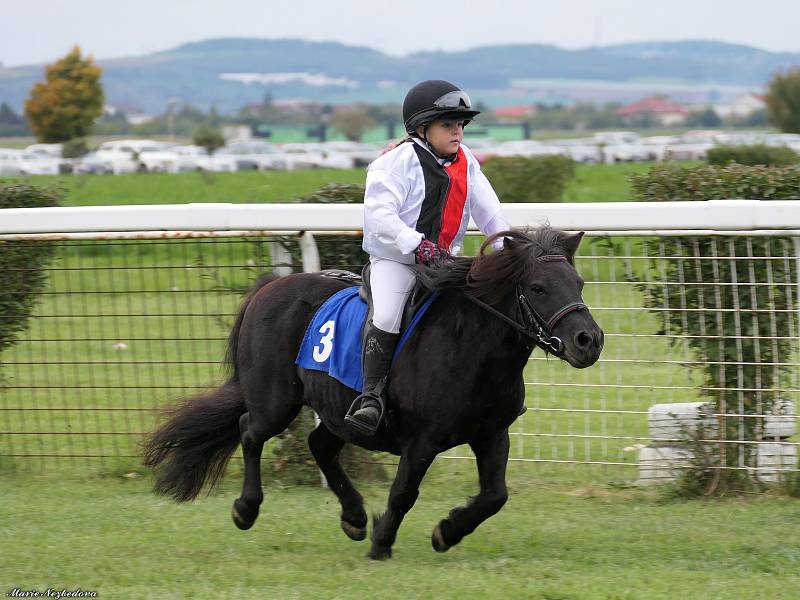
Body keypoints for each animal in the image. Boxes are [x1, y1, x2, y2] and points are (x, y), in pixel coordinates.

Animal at [145, 227, 608, 560]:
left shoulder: (492, 433)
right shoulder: (422, 441)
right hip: (276, 403)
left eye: (579, 282)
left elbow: (495, 495)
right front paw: (384, 541)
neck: (470, 346)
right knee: (249, 431)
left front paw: (446, 531)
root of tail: (269, 289)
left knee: (318, 444)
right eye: (538, 287)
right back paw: (246, 508)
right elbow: (404, 492)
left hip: (337, 412)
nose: (589, 341)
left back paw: (353, 517)